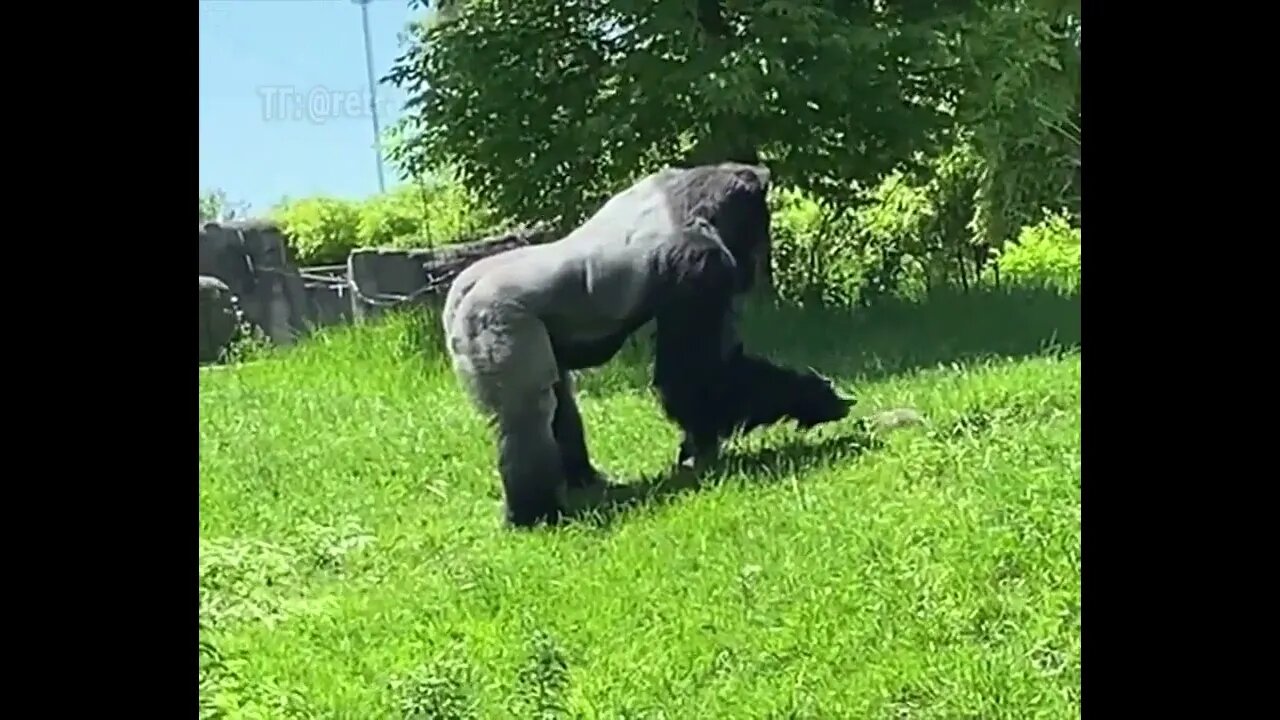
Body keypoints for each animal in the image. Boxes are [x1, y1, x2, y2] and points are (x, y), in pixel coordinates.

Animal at [445, 159, 855, 525]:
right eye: (759, 224)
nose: (754, 266)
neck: (689, 201)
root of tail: (458, 297)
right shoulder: (699, 263)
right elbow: (693, 377)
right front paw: (812, 398)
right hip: (496, 319)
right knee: (529, 412)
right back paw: (536, 514)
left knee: (556, 400)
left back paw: (582, 480)